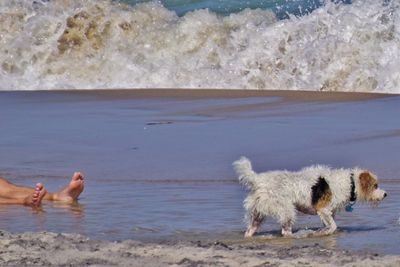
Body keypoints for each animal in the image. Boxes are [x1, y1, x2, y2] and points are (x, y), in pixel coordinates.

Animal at [234, 156, 388, 238]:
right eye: (375, 185)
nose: (385, 194)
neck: (350, 183)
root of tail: (258, 180)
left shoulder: (328, 213)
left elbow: (330, 224)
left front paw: (323, 231)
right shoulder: (323, 209)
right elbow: (333, 226)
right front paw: (321, 233)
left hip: (258, 212)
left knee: (250, 230)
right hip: (286, 209)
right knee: (285, 231)